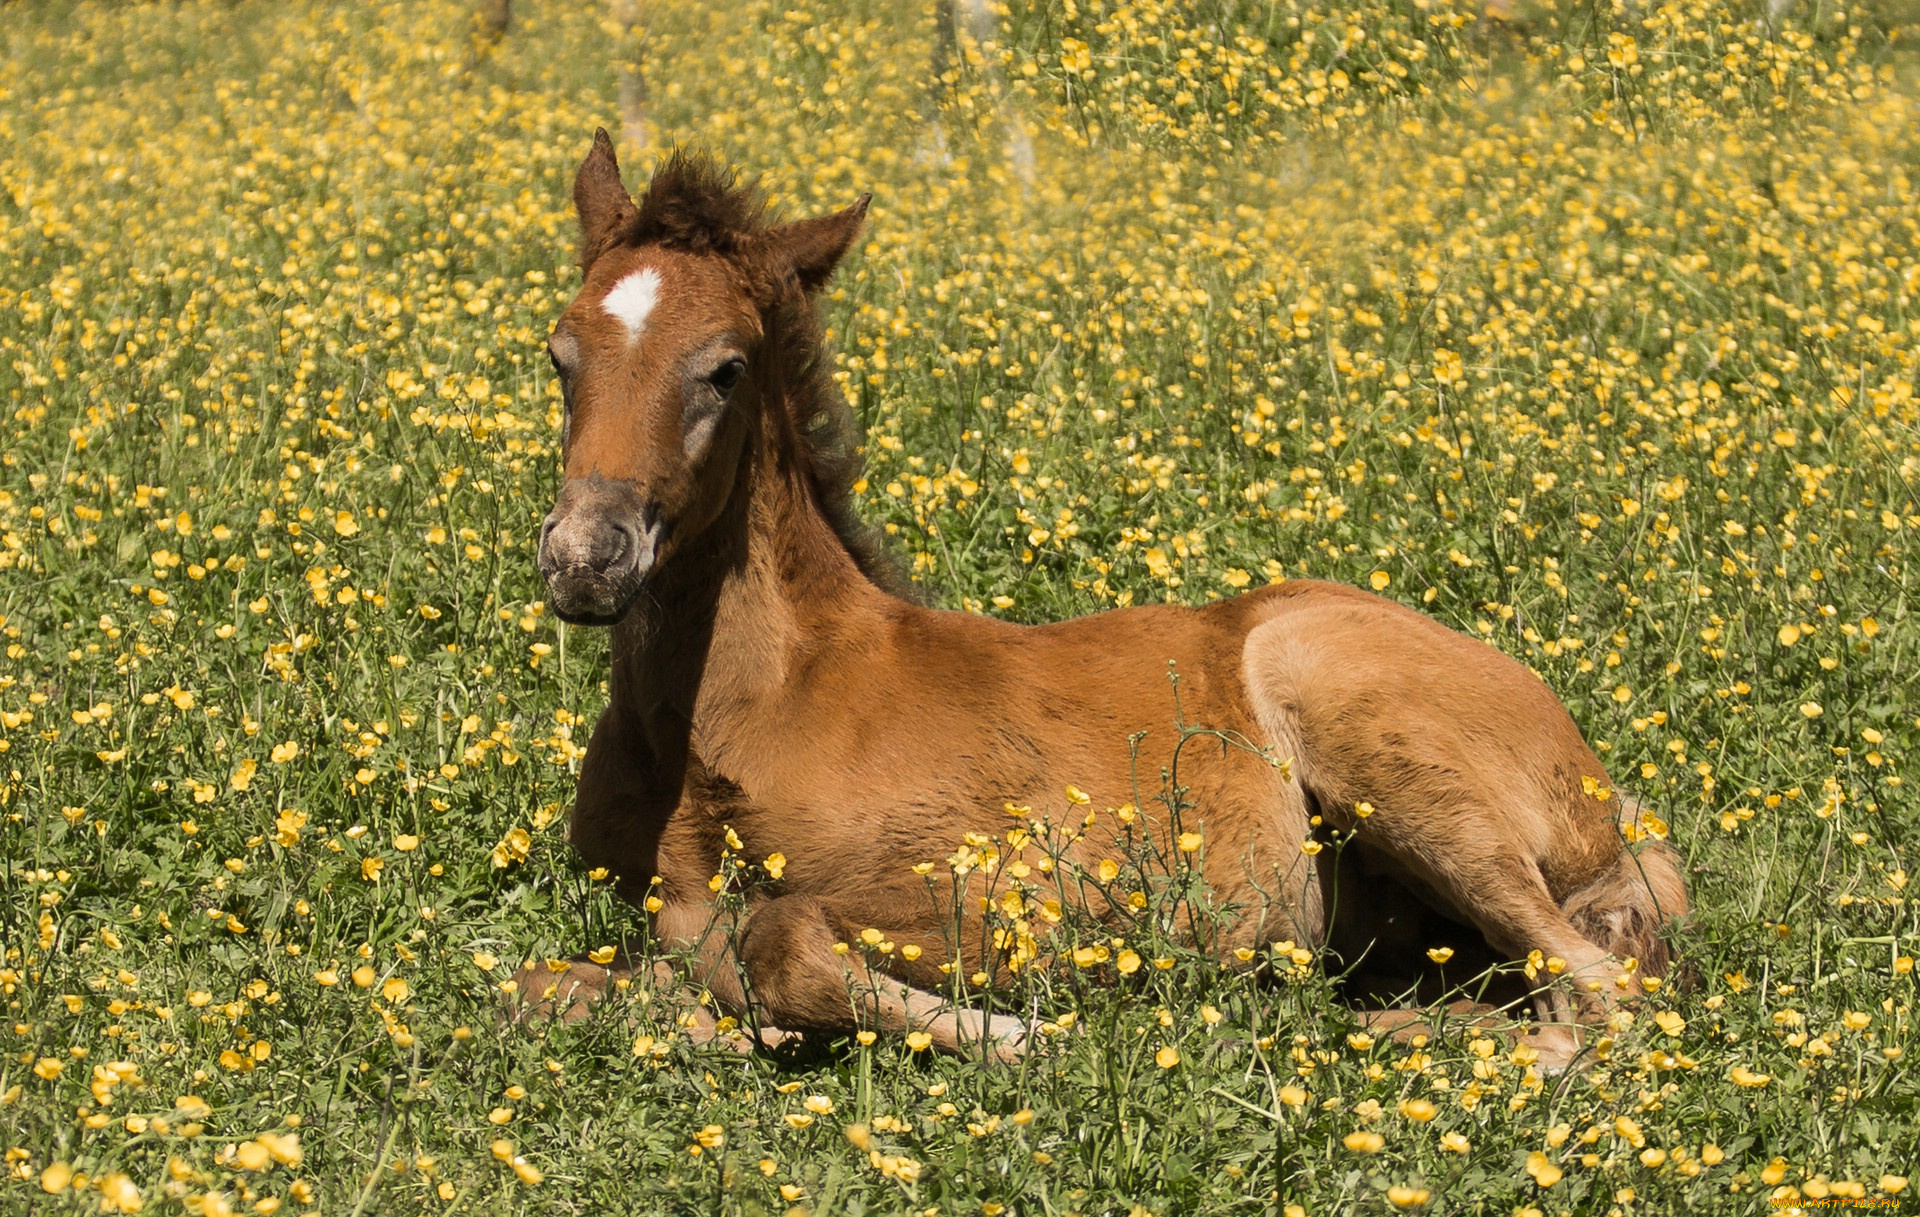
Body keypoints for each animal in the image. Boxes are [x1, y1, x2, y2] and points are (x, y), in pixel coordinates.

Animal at [506, 127, 1681, 1067]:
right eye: (560, 353)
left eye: (728, 367)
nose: (587, 557)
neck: (734, 717)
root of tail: (1604, 791)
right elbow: (553, 985)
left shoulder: (1024, 893)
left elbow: (773, 937)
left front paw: (1011, 1033)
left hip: (1364, 724)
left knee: (1604, 994)